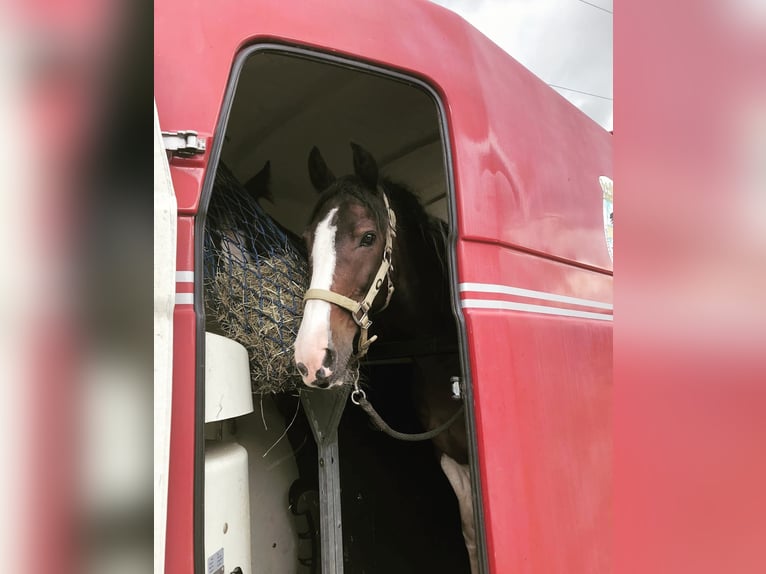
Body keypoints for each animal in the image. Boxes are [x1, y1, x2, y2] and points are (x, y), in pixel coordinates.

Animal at [293, 142, 478, 573]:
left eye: (368, 236)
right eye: (308, 239)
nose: (311, 356)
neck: (442, 358)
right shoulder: (449, 456)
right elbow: (470, 536)